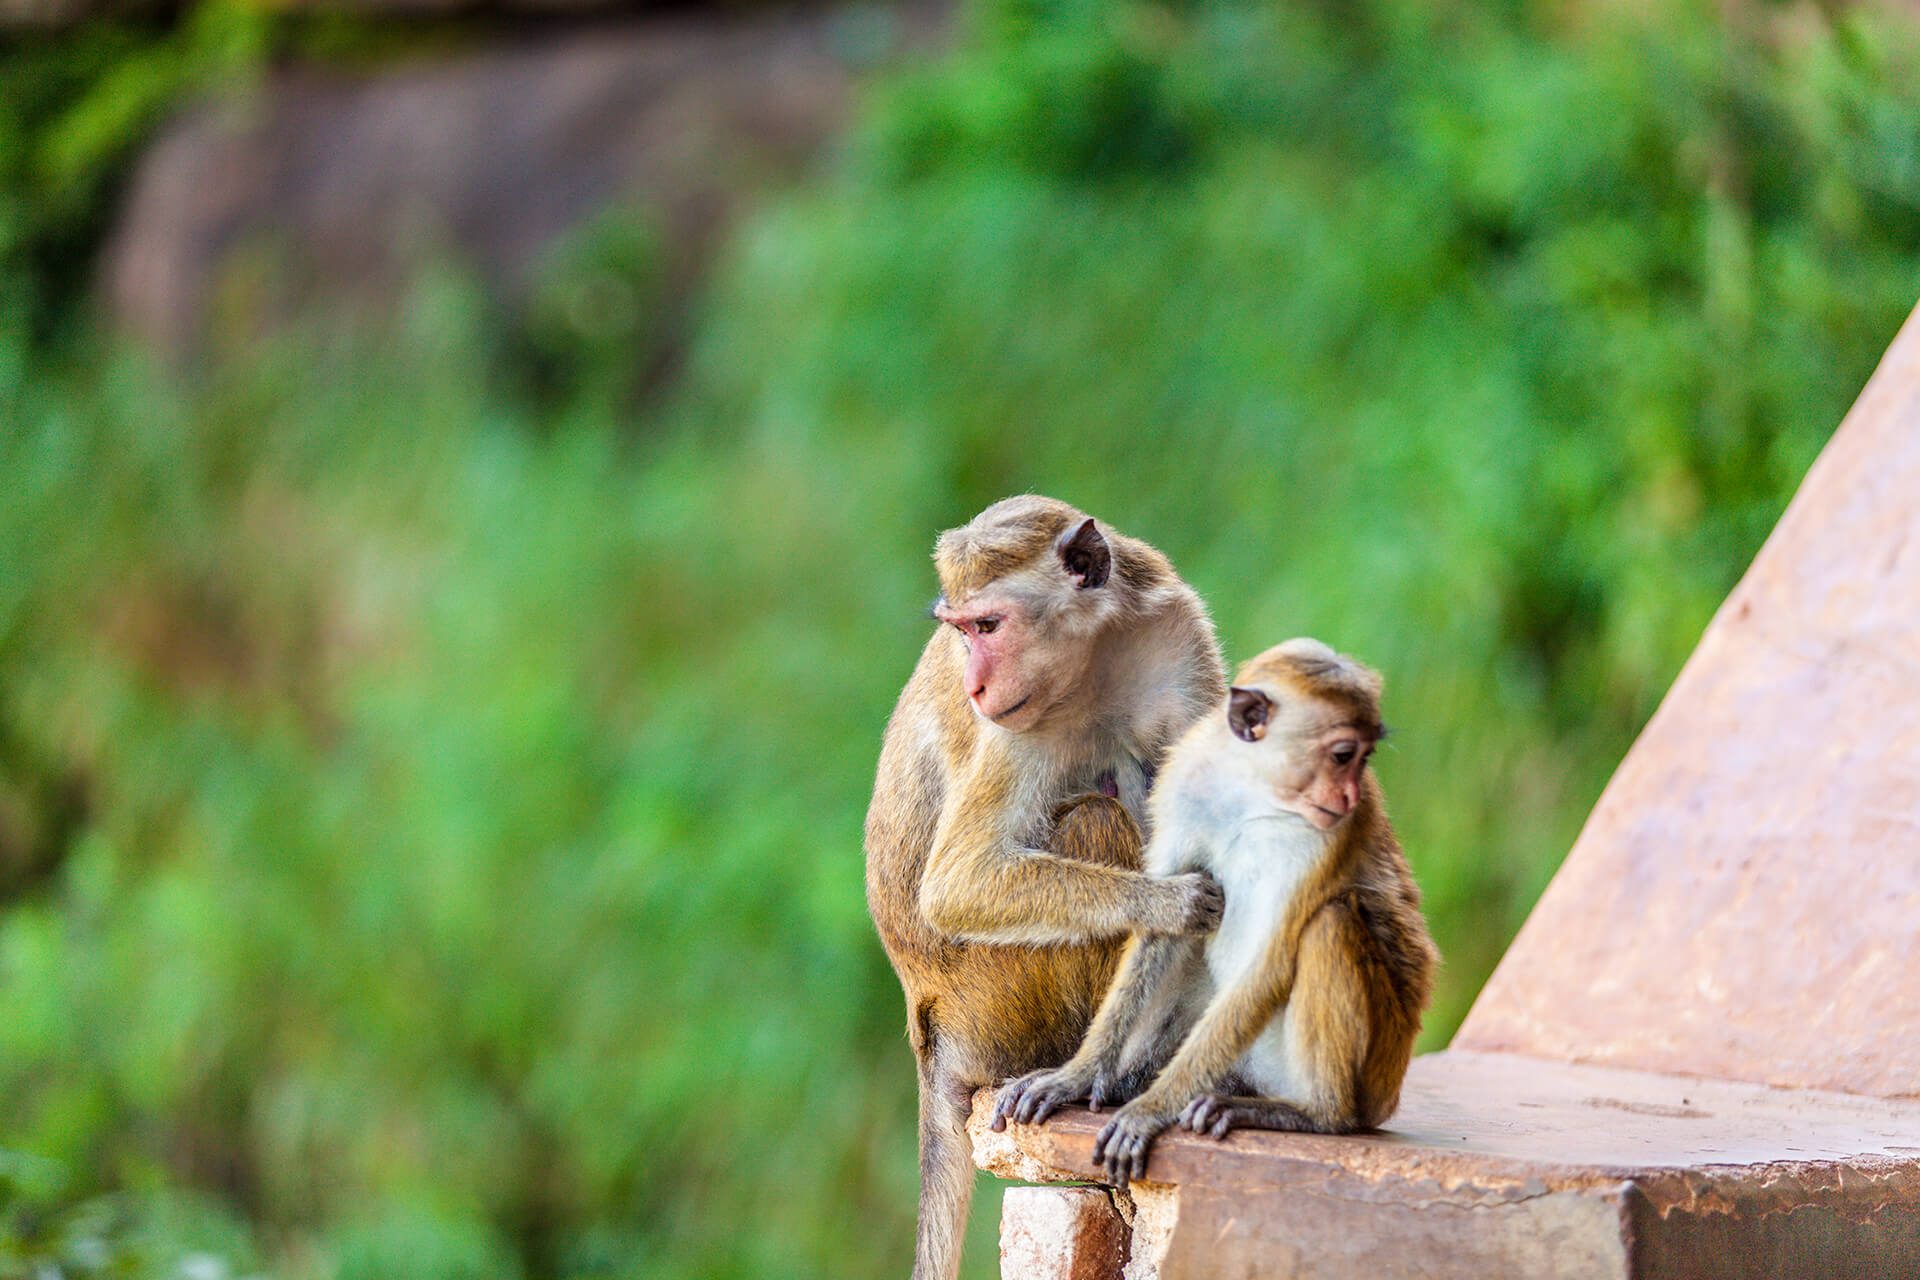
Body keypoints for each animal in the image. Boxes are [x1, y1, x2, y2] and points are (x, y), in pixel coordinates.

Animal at [865, 495, 1229, 1280]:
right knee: (1095, 817)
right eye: (962, 631)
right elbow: (959, 882)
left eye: (988, 626)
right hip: (997, 999)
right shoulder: (1017, 728)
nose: (975, 685)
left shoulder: (1176, 634)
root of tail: (930, 1030)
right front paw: (1174, 904)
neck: (1095, 663)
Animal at [991, 638, 1437, 1188]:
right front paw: (1078, 1076)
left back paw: (1317, 1114)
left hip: (1371, 1075)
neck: (1254, 790)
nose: (1351, 794)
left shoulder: (1328, 839)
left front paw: (1149, 1109)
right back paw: (1126, 1081)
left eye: (1361, 758)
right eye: (1343, 755)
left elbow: (1269, 965)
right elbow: (1168, 925)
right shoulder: (1186, 784)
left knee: (1329, 923)